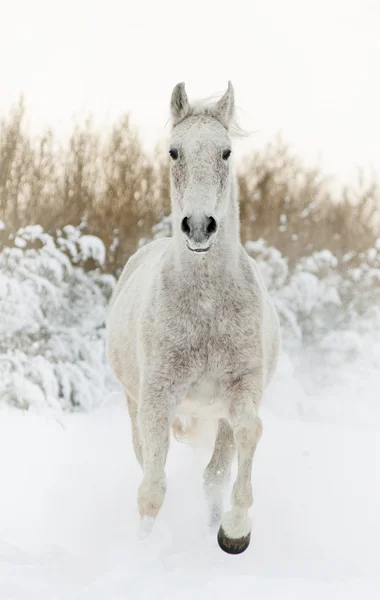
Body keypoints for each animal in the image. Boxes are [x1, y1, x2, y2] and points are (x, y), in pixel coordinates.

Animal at [105, 82, 280, 556]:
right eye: (173, 152)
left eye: (226, 152)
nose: (199, 226)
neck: (205, 308)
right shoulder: (156, 397)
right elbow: (151, 487)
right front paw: (144, 551)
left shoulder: (241, 390)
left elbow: (248, 435)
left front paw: (235, 530)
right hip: (134, 402)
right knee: (146, 463)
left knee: (213, 474)